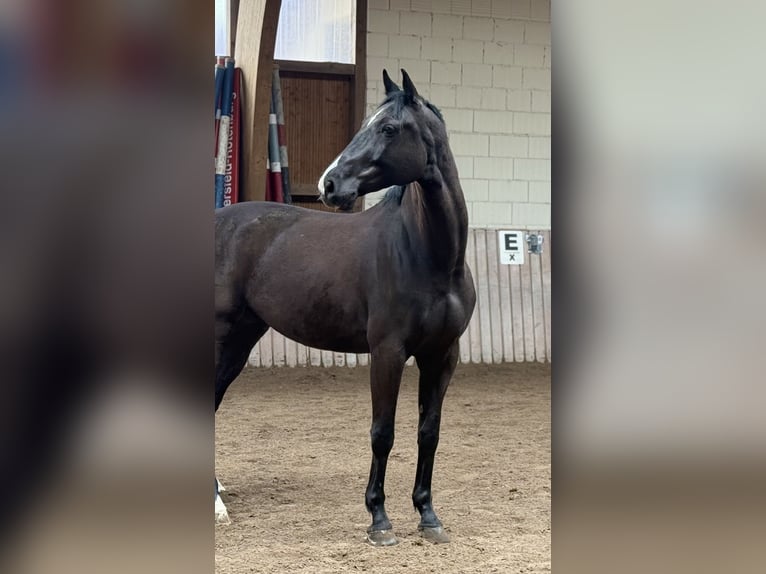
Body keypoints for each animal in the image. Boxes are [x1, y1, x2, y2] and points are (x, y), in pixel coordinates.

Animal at [214, 69, 476, 546]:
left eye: (388, 128)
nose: (329, 184)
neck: (430, 255)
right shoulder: (387, 352)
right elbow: (382, 432)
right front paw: (379, 520)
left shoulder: (443, 355)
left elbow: (428, 433)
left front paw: (428, 516)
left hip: (240, 339)